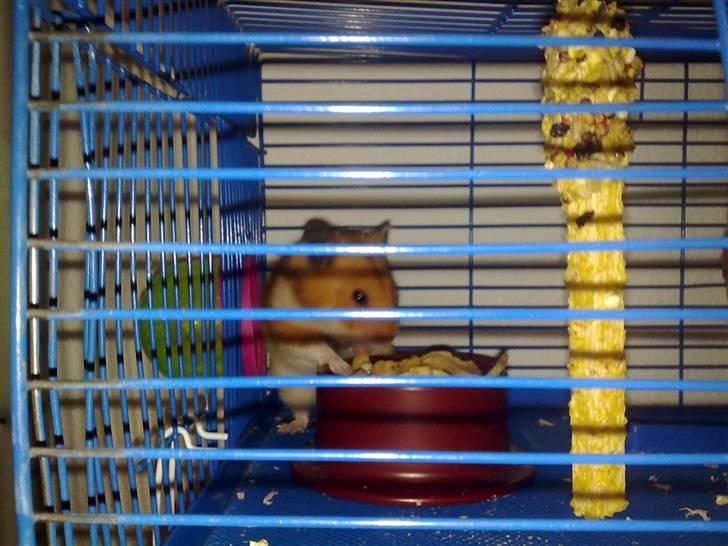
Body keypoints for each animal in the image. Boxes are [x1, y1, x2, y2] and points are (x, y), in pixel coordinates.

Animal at [264, 218, 399, 433]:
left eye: (393, 290)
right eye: (359, 297)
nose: (391, 335)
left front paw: (362, 350)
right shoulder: (291, 334)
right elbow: (319, 350)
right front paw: (343, 368)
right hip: (293, 391)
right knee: (301, 413)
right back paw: (289, 428)